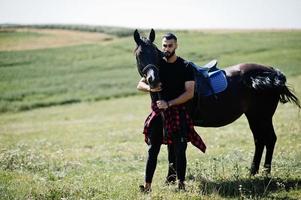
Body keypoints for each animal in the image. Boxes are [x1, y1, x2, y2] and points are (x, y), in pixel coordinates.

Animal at [134, 28, 300, 175]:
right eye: (140, 54)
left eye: (155, 53)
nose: (153, 80)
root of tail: (272, 72)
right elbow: (170, 149)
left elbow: (173, 150)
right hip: (254, 116)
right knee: (260, 140)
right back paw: (253, 172)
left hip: (262, 116)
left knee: (269, 139)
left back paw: (265, 172)